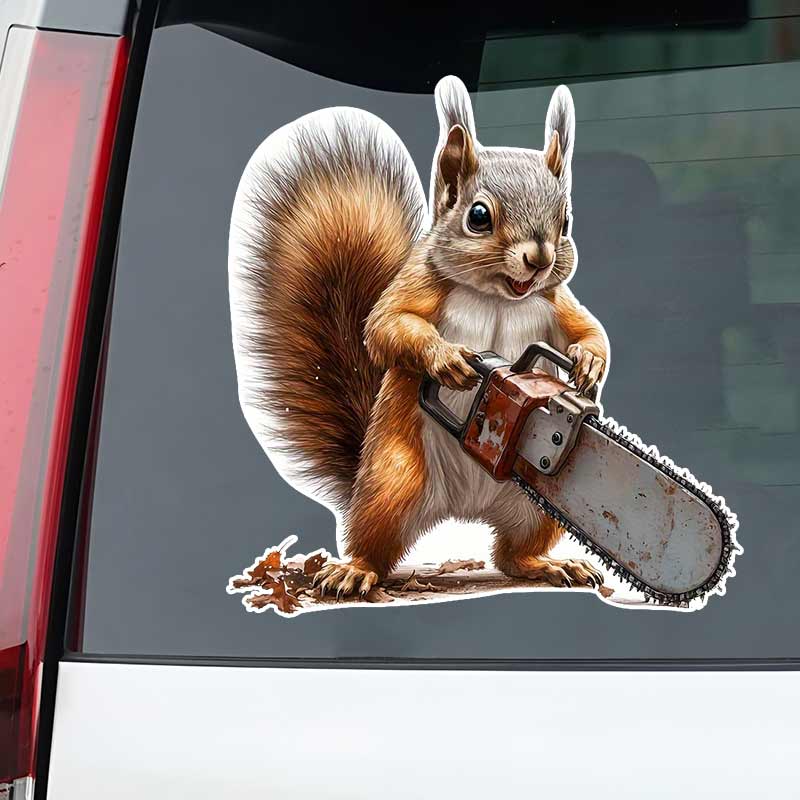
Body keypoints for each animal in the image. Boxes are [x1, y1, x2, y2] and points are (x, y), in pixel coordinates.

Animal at [228, 76, 609, 598]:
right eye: (478, 216)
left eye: (566, 222)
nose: (539, 259)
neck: (498, 296)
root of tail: (467, 508)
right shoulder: (421, 284)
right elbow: (386, 325)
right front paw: (446, 359)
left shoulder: (554, 300)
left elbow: (589, 331)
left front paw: (589, 365)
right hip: (394, 479)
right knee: (375, 538)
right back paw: (355, 570)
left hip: (541, 499)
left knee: (512, 555)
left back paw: (550, 565)